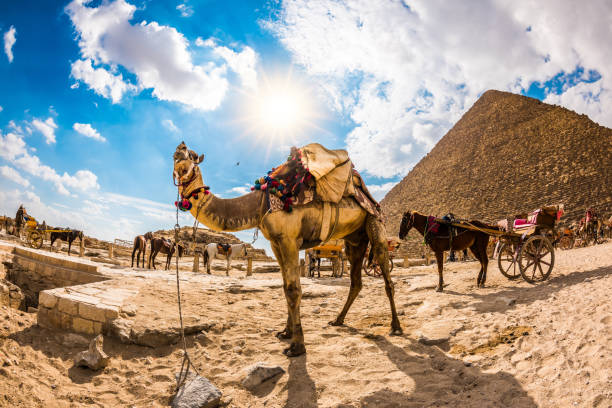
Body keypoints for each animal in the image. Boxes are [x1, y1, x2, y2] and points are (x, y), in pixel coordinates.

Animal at [172, 142, 402, 356]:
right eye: (178, 154)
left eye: (192, 156)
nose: (180, 149)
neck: (260, 203)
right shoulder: (276, 242)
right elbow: (284, 287)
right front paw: (286, 332)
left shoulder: (289, 239)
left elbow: (293, 290)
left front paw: (297, 346)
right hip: (354, 240)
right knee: (356, 281)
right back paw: (338, 319)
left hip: (374, 222)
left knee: (386, 276)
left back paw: (396, 327)